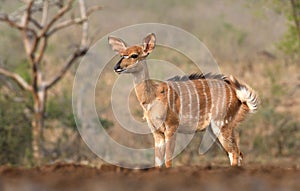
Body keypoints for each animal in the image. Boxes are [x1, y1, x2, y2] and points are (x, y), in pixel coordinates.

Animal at [109, 33, 258, 168]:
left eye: (134, 55)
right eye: (121, 54)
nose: (117, 67)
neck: (153, 96)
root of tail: (239, 96)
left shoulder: (172, 127)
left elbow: (168, 161)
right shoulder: (156, 132)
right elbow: (158, 163)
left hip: (221, 125)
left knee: (234, 153)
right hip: (216, 130)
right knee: (237, 153)